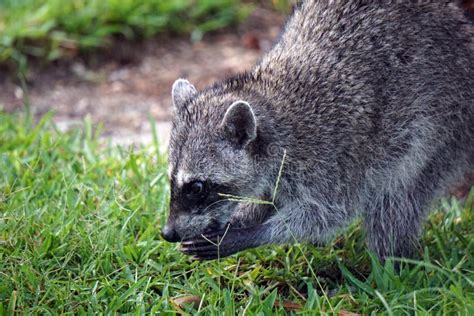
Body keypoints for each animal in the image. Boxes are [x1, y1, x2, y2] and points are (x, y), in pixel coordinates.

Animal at [161, 0, 472, 262]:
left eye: (197, 187)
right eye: (171, 180)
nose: (167, 233)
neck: (268, 101)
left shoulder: (336, 157)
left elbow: (324, 215)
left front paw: (246, 235)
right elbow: (269, 198)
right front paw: (238, 220)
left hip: (442, 127)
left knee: (397, 197)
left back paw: (390, 266)